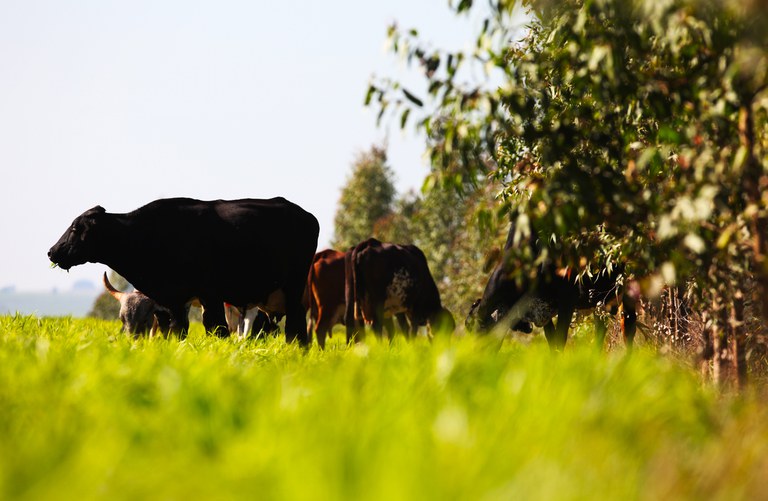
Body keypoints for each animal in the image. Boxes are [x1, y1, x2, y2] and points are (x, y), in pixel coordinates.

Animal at [48, 195, 318, 344]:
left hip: (293, 289)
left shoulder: (210, 295)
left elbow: (217, 329)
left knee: (295, 328)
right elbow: (177, 332)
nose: (51, 251)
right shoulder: (175, 301)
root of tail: (306, 215)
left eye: (75, 228)